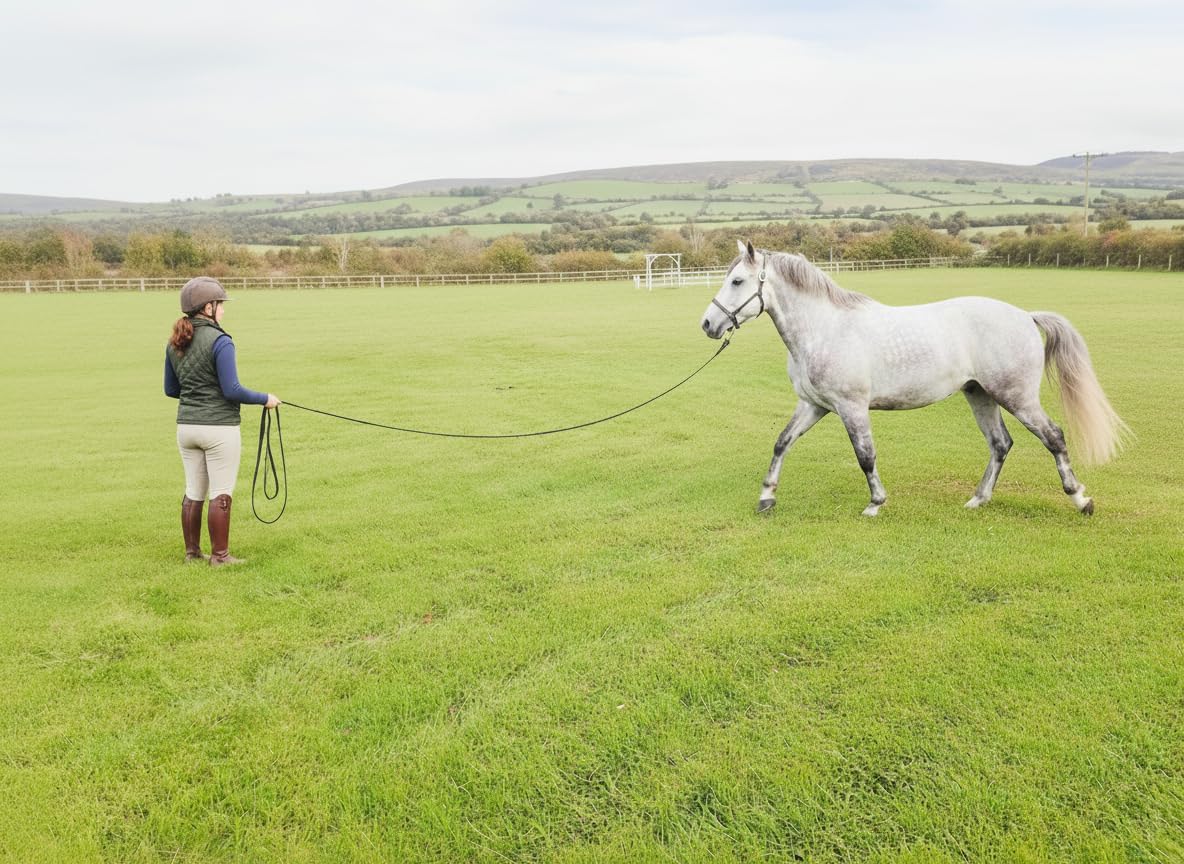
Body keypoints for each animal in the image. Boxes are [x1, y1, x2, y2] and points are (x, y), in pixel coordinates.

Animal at [701, 241, 1129, 517]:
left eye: (737, 281)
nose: (708, 324)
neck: (824, 328)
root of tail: (1026, 315)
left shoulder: (851, 407)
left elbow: (865, 456)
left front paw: (875, 503)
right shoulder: (814, 406)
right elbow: (781, 443)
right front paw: (766, 497)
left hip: (1016, 396)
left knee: (1053, 437)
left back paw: (1080, 500)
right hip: (980, 395)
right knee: (1000, 444)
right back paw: (978, 500)